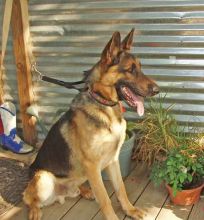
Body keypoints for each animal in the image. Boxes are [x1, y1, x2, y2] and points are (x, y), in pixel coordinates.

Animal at [22, 29, 159, 220]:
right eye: (130, 70)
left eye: (140, 68)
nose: (157, 90)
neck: (103, 105)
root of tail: (61, 195)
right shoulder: (93, 166)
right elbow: (105, 199)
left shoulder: (112, 160)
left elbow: (121, 189)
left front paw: (130, 210)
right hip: (44, 179)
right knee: (28, 198)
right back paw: (35, 210)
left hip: (81, 174)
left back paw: (85, 191)